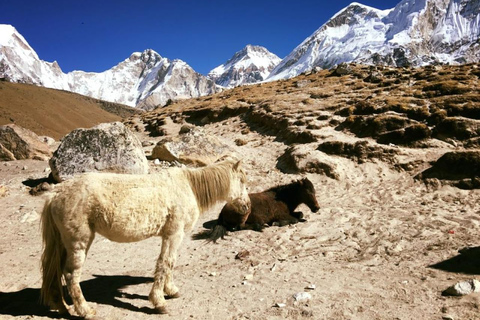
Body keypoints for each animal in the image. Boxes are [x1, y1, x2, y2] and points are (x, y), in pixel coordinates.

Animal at [41, 159, 249, 316]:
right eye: (242, 181)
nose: (247, 206)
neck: (188, 187)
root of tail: (56, 194)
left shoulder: (170, 235)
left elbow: (169, 263)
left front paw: (171, 291)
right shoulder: (174, 234)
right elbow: (166, 263)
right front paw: (159, 302)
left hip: (64, 243)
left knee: (56, 271)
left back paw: (62, 306)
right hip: (79, 242)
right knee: (70, 274)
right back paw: (85, 311)